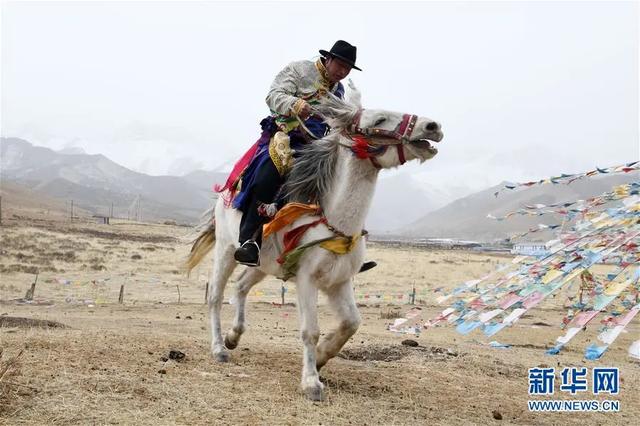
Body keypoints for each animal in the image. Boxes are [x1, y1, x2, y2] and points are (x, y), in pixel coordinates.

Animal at [188, 88, 442, 402]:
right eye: (380, 119)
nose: (432, 126)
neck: (334, 222)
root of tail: (225, 194)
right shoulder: (307, 279)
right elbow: (310, 330)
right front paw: (311, 382)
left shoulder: (339, 282)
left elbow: (351, 324)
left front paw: (321, 358)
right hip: (226, 250)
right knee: (215, 295)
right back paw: (219, 348)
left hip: (262, 264)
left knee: (241, 286)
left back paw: (234, 336)